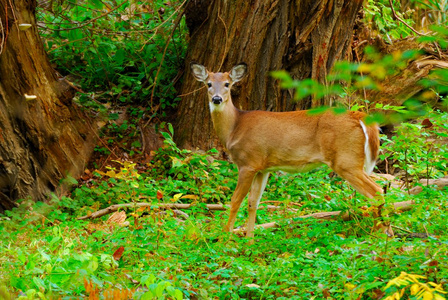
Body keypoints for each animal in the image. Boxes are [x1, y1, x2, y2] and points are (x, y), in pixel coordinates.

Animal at [191, 61, 384, 239]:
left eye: (227, 84)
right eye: (208, 84)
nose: (217, 99)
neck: (234, 127)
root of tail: (359, 116)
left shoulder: (248, 163)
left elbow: (235, 200)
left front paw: (225, 238)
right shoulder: (262, 168)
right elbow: (253, 202)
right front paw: (250, 240)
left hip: (346, 160)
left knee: (377, 191)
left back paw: (381, 235)